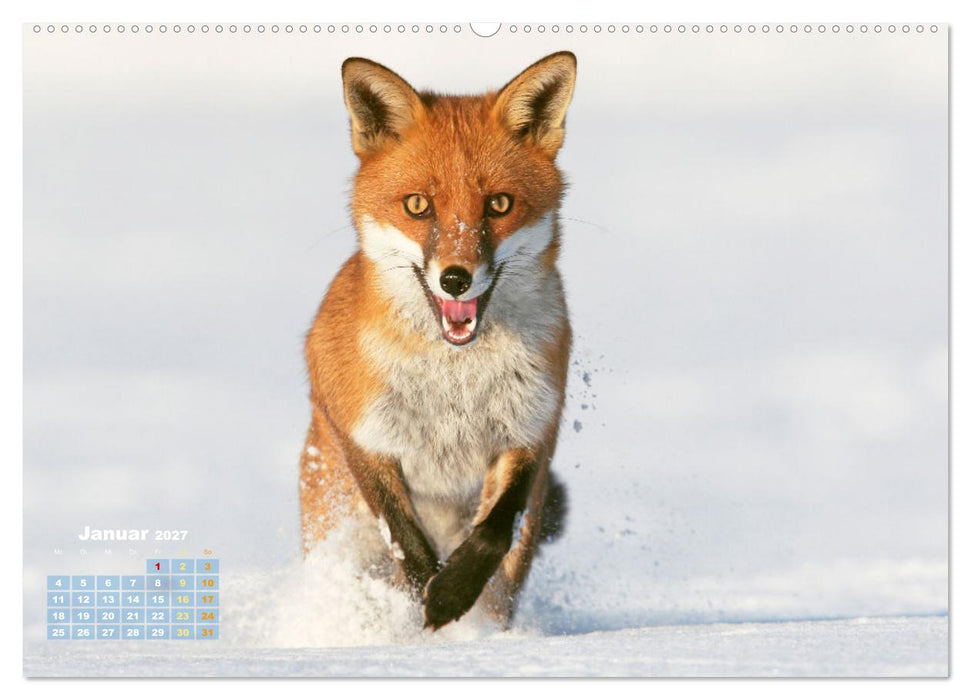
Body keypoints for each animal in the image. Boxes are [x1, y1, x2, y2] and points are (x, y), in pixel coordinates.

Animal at [299, 51, 577, 630]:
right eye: (418, 205)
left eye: (499, 204)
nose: (455, 279)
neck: (454, 379)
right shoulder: (361, 430)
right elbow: (404, 537)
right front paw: (424, 596)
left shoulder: (532, 427)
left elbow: (495, 529)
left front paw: (451, 593)